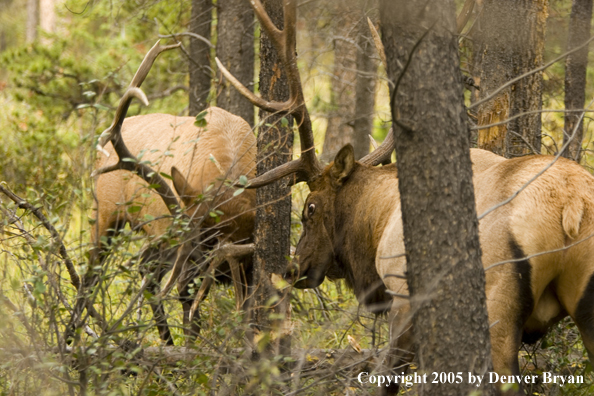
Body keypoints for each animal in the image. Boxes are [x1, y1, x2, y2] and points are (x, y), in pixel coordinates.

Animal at [89, 39, 256, 344]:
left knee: (146, 272)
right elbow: (194, 320)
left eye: (210, 241)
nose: (181, 282)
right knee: (92, 276)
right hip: (107, 215)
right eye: (193, 236)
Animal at [217, 0, 592, 392]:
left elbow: (389, 377)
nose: (294, 269)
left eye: (311, 208)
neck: (377, 222)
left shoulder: (402, 294)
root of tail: (571, 204)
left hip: (499, 299)